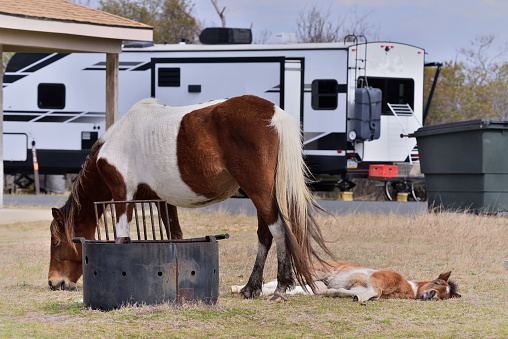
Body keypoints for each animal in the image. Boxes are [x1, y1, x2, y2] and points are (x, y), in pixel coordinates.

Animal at [49, 93, 332, 300]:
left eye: (55, 241)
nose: (54, 282)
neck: (115, 143)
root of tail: (274, 113)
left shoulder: (123, 196)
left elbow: (122, 236)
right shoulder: (161, 201)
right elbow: (174, 236)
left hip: (258, 190)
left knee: (279, 230)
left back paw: (282, 286)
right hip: (260, 192)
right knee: (266, 234)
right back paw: (251, 288)